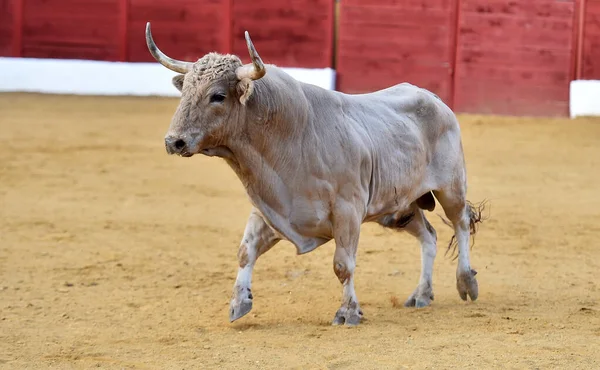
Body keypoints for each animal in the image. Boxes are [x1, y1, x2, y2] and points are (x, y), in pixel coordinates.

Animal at [148, 21, 486, 326]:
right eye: (185, 91)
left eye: (217, 96)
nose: (174, 141)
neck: (291, 135)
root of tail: (435, 99)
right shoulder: (270, 208)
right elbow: (245, 251)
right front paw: (239, 303)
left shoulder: (348, 211)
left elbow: (343, 264)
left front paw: (348, 312)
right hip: (400, 207)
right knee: (429, 236)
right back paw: (421, 294)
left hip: (451, 187)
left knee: (461, 223)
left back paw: (466, 283)